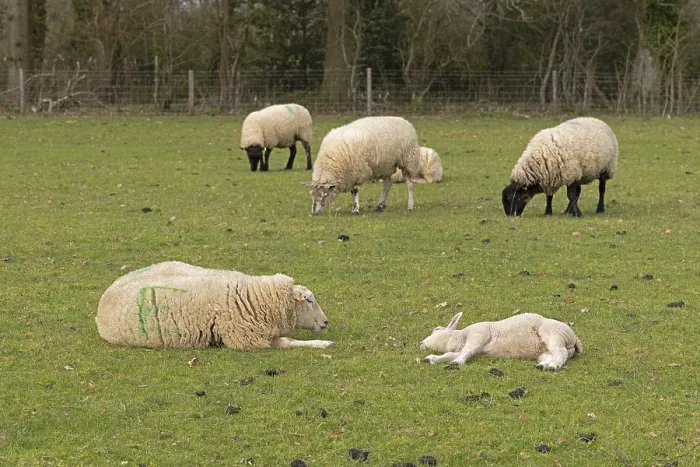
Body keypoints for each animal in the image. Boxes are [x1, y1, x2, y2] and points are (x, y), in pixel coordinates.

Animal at [95, 261, 335, 350]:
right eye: (310, 300)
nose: (325, 322)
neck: (255, 295)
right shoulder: (246, 339)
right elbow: (289, 341)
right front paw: (324, 343)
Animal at [420, 312, 582, 371]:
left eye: (436, 329)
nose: (421, 343)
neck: (459, 337)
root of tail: (575, 339)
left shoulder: (478, 334)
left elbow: (466, 351)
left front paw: (456, 363)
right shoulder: (475, 350)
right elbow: (450, 354)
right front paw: (431, 359)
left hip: (553, 333)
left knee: (560, 353)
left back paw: (554, 366)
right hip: (545, 351)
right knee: (555, 355)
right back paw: (544, 365)